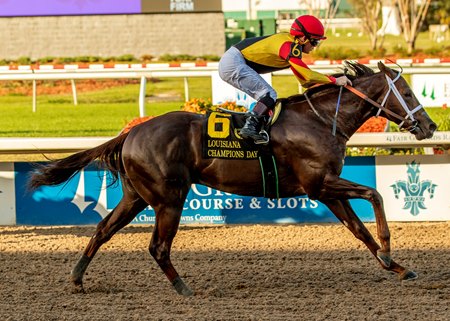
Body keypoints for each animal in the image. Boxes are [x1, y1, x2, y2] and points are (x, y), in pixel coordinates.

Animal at [28, 60, 436, 296]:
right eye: (407, 90)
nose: (430, 126)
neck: (320, 121)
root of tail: (131, 132)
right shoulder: (319, 185)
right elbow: (375, 196)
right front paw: (389, 249)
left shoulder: (327, 190)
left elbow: (360, 230)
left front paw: (397, 266)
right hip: (169, 198)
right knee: (158, 246)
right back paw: (184, 288)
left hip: (136, 196)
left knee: (102, 230)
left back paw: (77, 279)